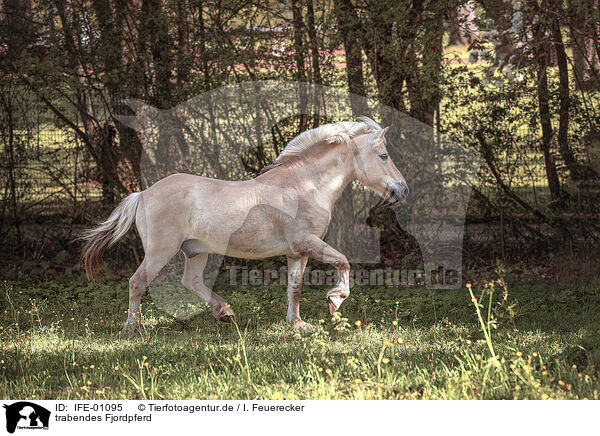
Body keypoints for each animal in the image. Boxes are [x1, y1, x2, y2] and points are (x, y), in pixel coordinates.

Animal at [81, 117, 408, 332]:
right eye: (383, 156)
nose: (402, 191)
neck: (305, 185)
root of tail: (143, 194)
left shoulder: (297, 253)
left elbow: (295, 287)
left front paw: (298, 324)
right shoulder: (306, 243)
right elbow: (344, 262)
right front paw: (335, 300)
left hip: (196, 250)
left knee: (191, 281)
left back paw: (225, 313)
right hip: (161, 251)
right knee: (137, 283)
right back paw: (133, 328)